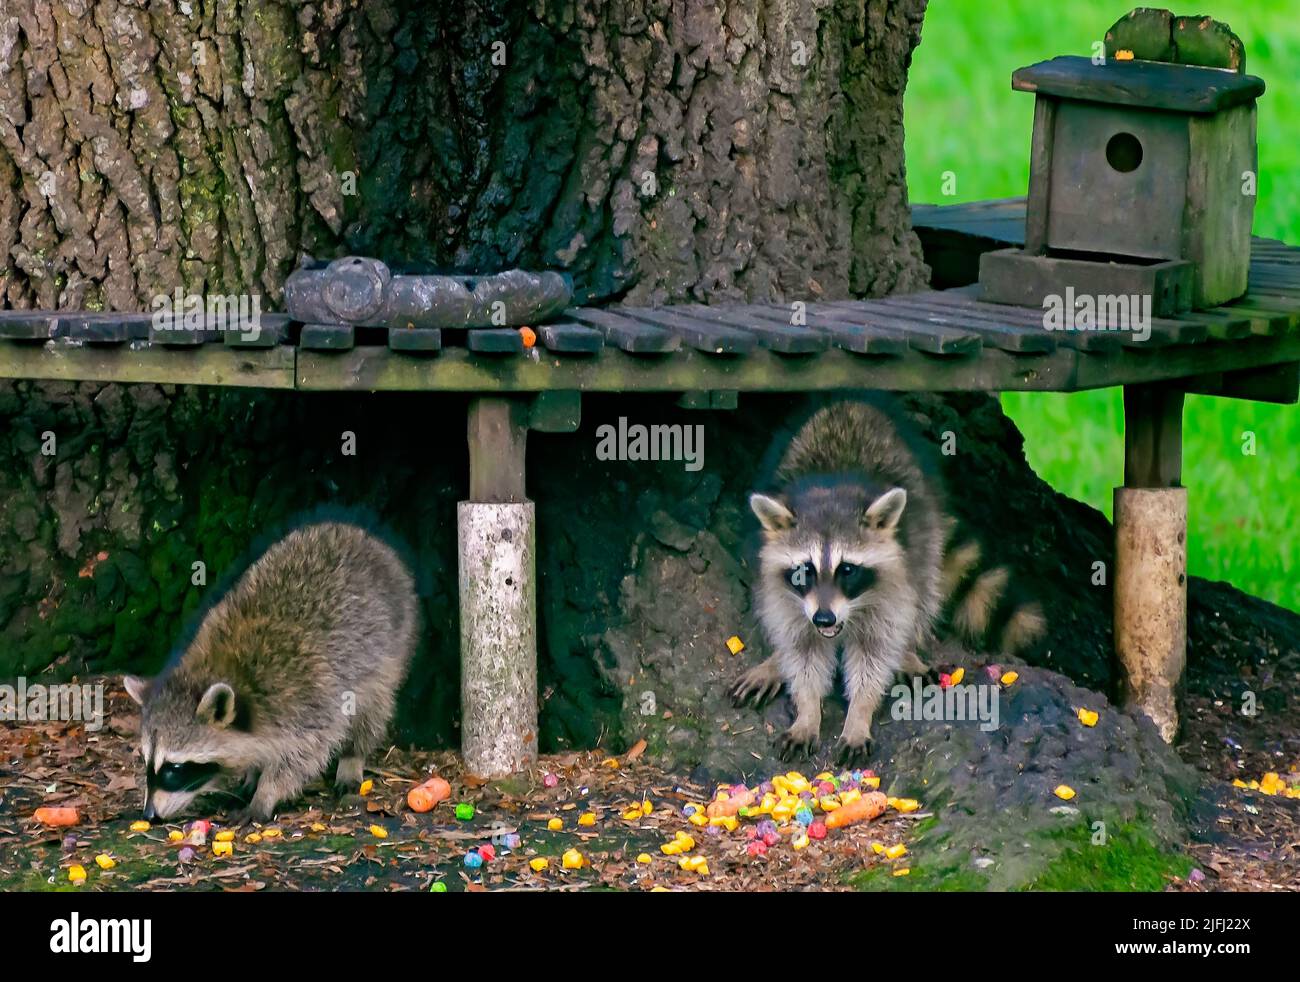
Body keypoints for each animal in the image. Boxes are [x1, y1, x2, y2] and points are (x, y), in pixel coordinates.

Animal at [122, 517, 416, 827]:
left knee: (372, 708)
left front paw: (266, 794)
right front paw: (253, 771)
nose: (149, 815)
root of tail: (357, 534)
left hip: (391, 643)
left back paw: (352, 756)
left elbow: (302, 755)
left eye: (175, 768)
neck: (215, 668)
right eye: (147, 763)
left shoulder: (305, 700)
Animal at [733, 395, 1045, 764]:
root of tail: (852, 401)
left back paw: (908, 646)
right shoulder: (791, 596)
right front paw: (807, 711)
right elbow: (802, 651)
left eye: (847, 570)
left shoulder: (890, 587)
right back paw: (775, 662)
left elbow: (875, 655)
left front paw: (859, 714)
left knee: (923, 592)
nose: (824, 618)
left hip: (923, 533)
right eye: (804, 570)